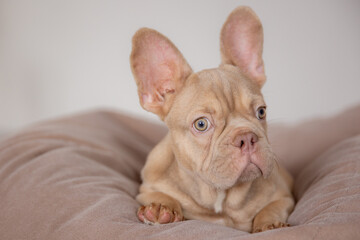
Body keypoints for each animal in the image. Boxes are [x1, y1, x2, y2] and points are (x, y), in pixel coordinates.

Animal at [131, 6, 294, 233]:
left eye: (261, 112)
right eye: (201, 124)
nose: (247, 138)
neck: (220, 196)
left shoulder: (283, 196)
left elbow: (270, 208)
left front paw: (269, 225)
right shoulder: (147, 189)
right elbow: (162, 196)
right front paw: (160, 209)